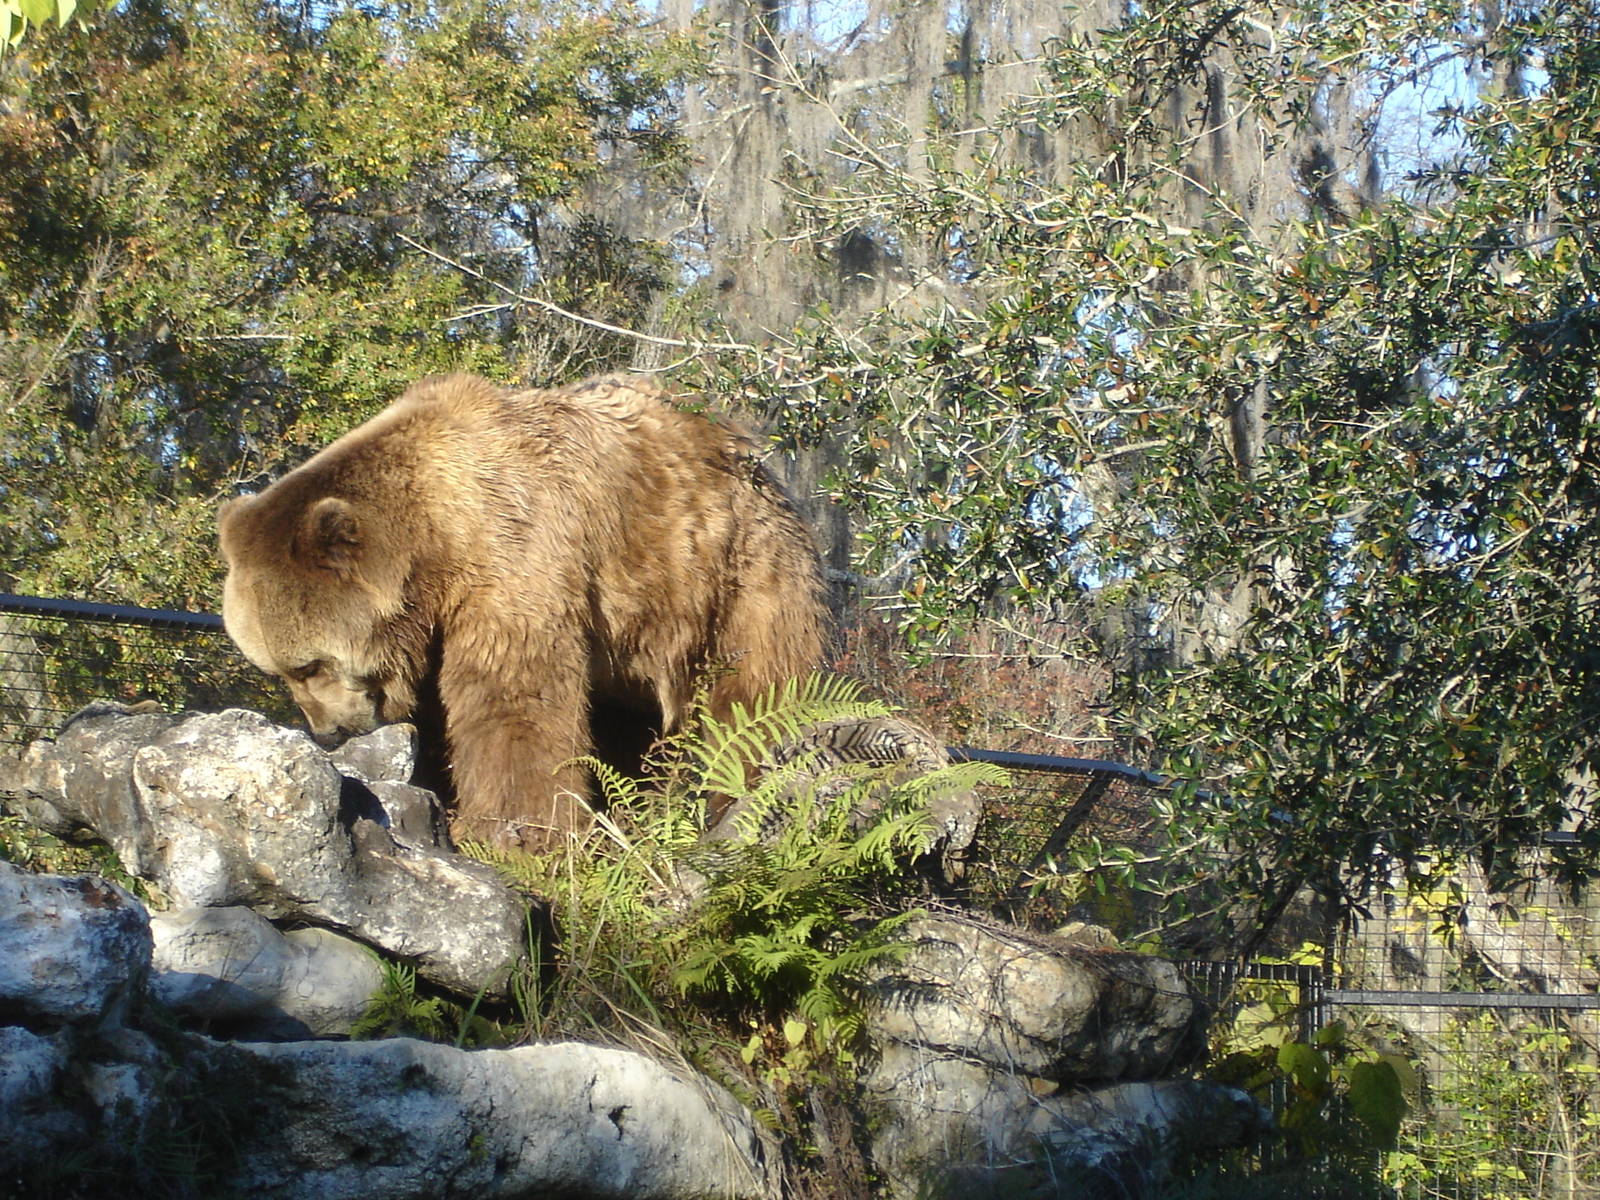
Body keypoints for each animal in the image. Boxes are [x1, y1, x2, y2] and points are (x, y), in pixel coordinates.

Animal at [217, 372, 829, 851]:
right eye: (275, 670)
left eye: (309, 665)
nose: (327, 734)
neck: (436, 542)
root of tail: (744, 440)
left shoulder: (517, 550)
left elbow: (512, 697)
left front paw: (511, 831)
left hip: (729, 565)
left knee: (755, 684)